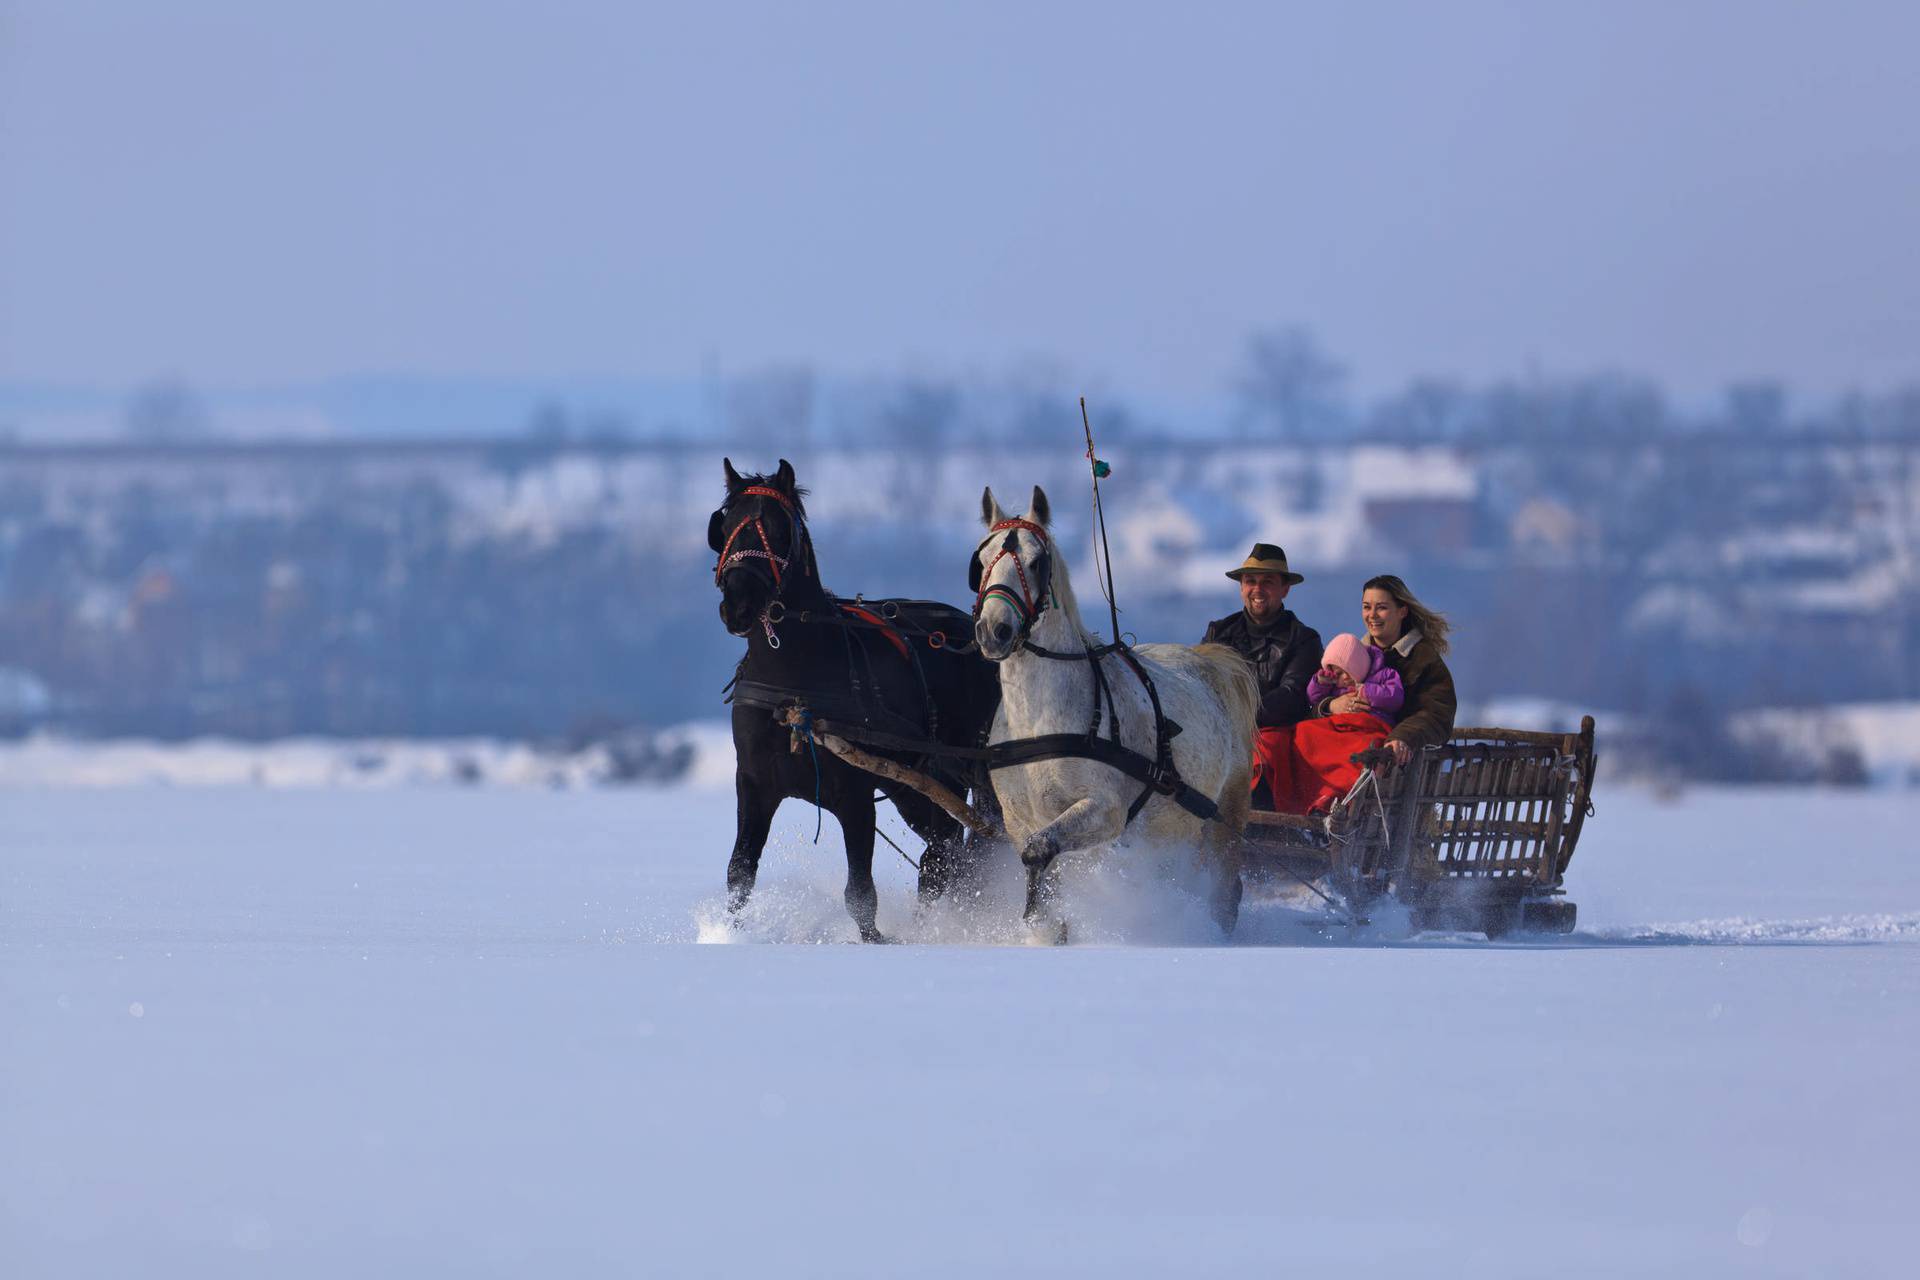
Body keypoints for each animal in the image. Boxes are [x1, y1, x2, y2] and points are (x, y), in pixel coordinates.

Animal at [710, 460, 1006, 940]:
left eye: (778, 529)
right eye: (724, 526)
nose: (737, 605)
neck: (792, 685)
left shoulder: (854, 793)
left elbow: (861, 895)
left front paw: (876, 940)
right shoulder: (754, 783)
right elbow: (740, 874)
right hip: (912, 783)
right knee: (943, 849)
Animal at [967, 485, 1267, 936]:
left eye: (1037, 562)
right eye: (982, 560)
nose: (993, 631)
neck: (1038, 723)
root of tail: (1212, 661)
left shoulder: (1106, 811)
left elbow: (1039, 851)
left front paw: (1043, 928)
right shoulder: (1019, 820)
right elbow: (1039, 862)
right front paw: (1049, 928)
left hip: (1225, 815)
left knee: (1225, 889)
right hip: (1170, 827)